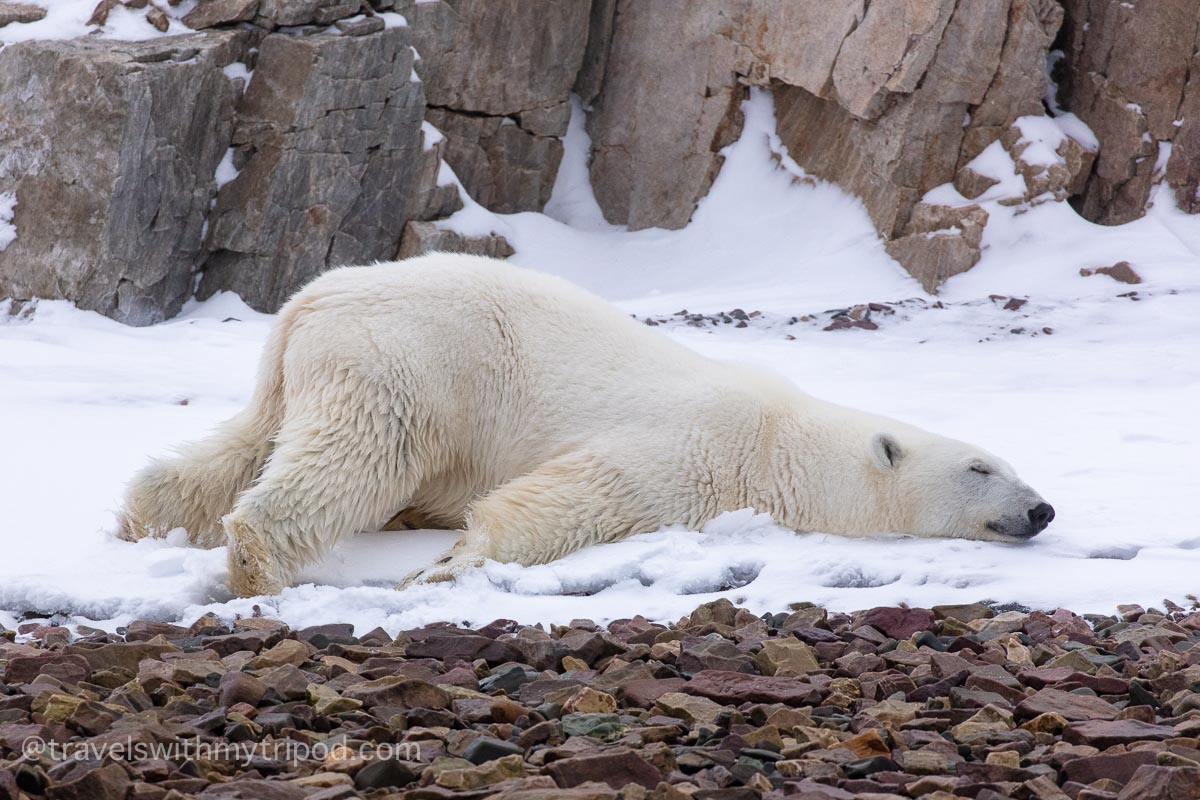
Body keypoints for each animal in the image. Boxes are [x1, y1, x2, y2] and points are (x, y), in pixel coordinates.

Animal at [117, 253, 1056, 597]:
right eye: (980, 468)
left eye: (1012, 464)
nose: (1043, 508)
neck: (784, 444)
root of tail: (310, 299)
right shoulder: (699, 450)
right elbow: (578, 497)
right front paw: (452, 563)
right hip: (410, 365)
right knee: (357, 457)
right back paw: (256, 563)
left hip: (305, 372)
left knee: (245, 445)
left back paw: (141, 520)